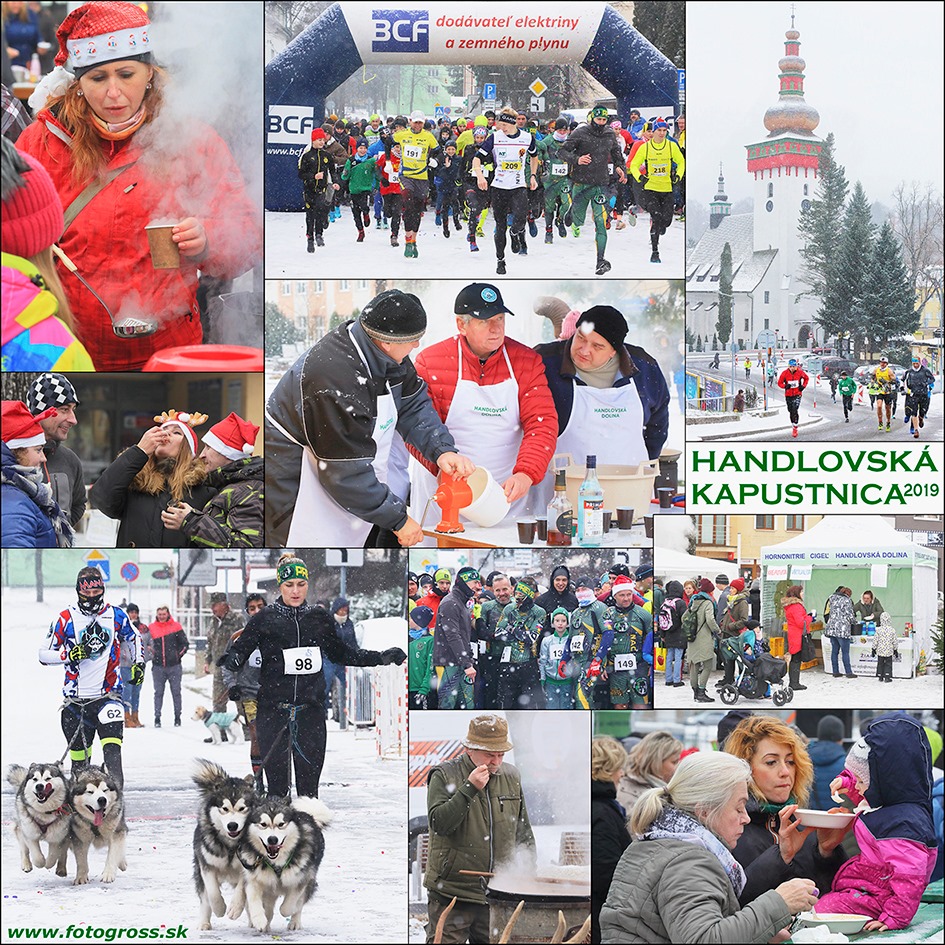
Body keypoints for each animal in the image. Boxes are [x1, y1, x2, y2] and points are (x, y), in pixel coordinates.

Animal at [193, 756, 258, 924]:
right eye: (224, 808)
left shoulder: (249, 865)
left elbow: (242, 888)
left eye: (242, 808)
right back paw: (203, 923)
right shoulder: (206, 864)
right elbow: (212, 891)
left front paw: (235, 908)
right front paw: (219, 908)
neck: (230, 846)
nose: (232, 825)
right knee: (204, 897)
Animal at [238, 792, 330, 932]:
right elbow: (254, 900)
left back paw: (294, 922)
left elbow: (288, 906)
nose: (272, 839)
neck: (276, 862)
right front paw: (259, 920)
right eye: (263, 824)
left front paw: (289, 909)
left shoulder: (301, 878)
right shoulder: (254, 877)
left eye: (281, 824)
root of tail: (310, 816)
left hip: (310, 879)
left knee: (299, 903)